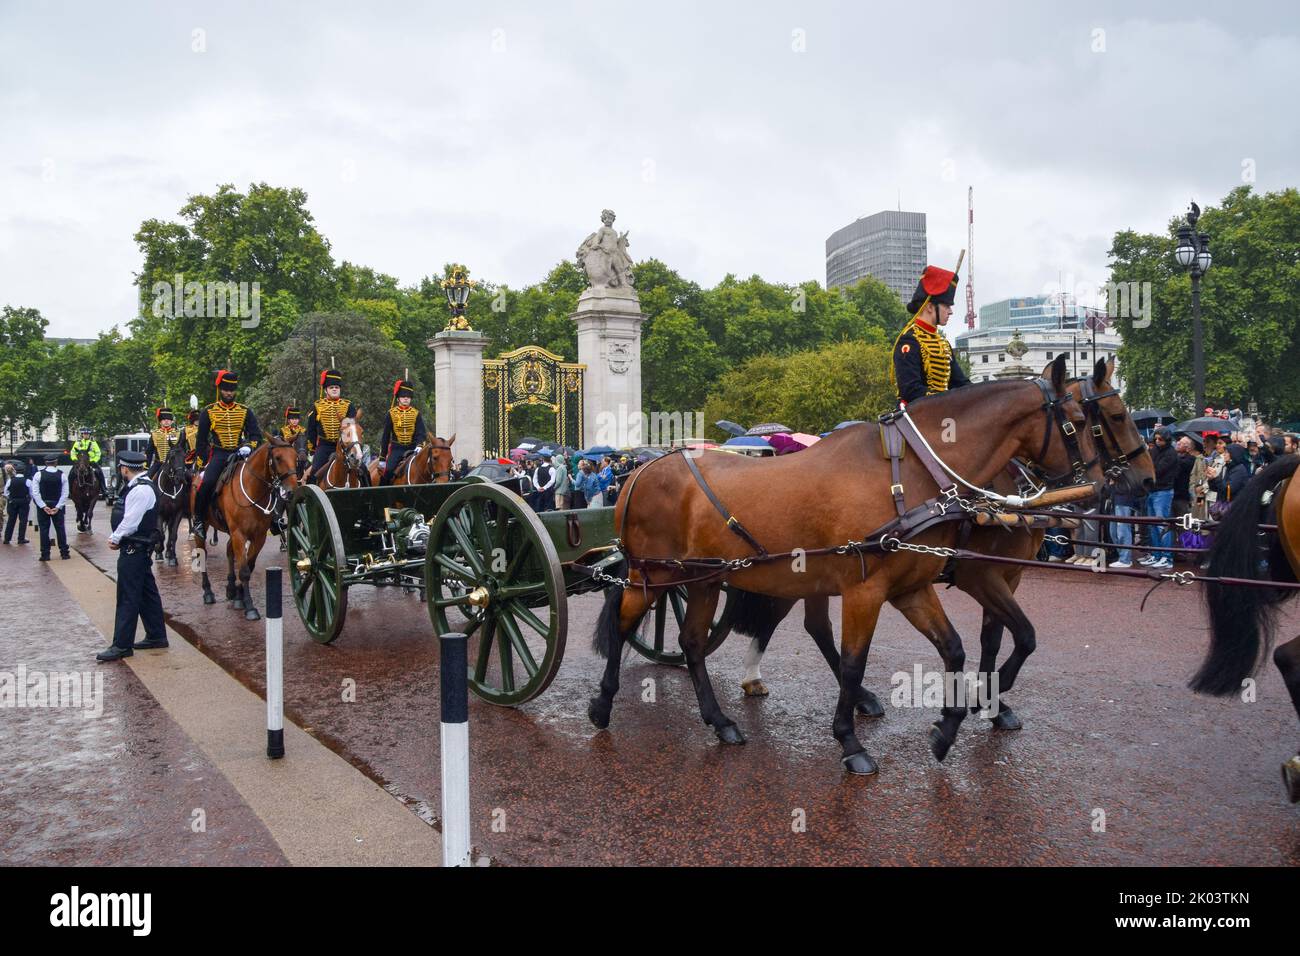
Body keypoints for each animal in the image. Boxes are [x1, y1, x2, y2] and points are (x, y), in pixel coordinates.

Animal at [189, 434, 297, 621]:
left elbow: (249, 565)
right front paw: (250, 607)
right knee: (202, 554)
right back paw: (208, 592)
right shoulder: (239, 534)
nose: (292, 491)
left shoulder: (258, 536)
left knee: (229, 551)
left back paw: (231, 588)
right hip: (205, 529)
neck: (253, 489)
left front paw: (239, 596)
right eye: (277, 458)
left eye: (296, 457)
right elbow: (245, 570)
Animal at [595, 356, 1102, 775]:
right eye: (1082, 421)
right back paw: (602, 704)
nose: (1103, 485)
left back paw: (720, 721)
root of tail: (639, 471)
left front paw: (950, 725)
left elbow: (957, 647)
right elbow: (857, 660)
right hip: (655, 574)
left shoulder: (913, 587)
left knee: (693, 643)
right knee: (622, 620)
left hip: (704, 580)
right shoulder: (872, 590)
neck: (910, 474)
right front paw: (851, 742)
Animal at [733, 358, 1159, 733]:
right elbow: (1024, 635)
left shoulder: (1008, 575)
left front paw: (993, 704)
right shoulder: (979, 574)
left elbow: (996, 637)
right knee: (796, 621)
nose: (1144, 481)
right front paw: (987, 696)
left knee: (805, 623)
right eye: (1112, 416)